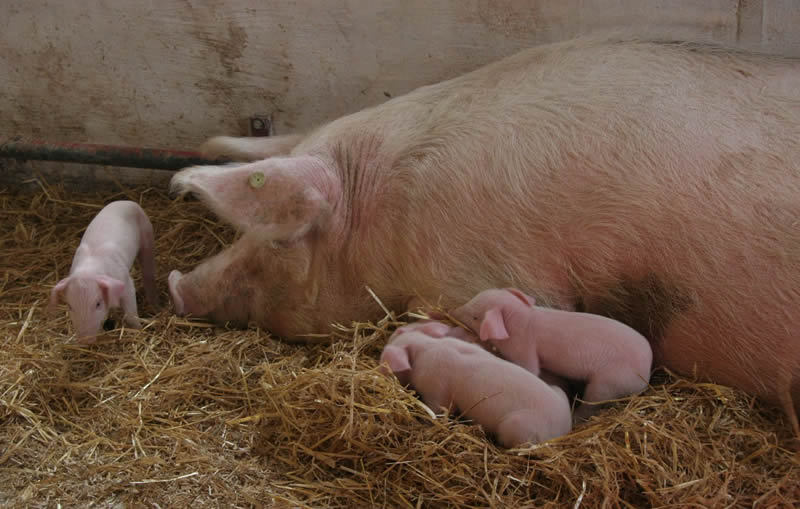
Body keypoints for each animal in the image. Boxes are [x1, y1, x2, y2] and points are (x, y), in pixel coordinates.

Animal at [49, 198, 159, 342]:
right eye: (69, 306)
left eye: (98, 304)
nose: (85, 341)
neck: (88, 270)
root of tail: (126, 201)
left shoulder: (125, 280)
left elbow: (130, 311)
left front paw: (139, 330)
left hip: (147, 234)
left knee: (148, 271)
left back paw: (155, 306)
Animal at [380, 328, 572, 446]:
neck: (425, 348)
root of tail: (564, 428)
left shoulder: (437, 390)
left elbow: (439, 411)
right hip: (559, 391)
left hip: (518, 426)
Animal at [450, 288, 648, 418]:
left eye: (476, 317)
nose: (453, 310)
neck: (521, 320)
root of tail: (646, 374)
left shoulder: (525, 350)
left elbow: (531, 369)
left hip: (607, 383)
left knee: (591, 404)